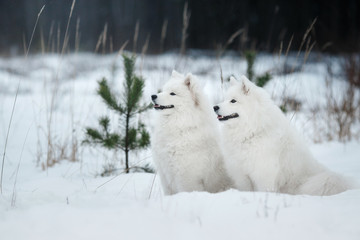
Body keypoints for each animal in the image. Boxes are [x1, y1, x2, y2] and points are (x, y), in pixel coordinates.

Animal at [214, 76, 354, 196]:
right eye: (224, 99)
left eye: (233, 101)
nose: (215, 107)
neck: (253, 130)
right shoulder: (242, 176)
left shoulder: (263, 177)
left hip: (319, 182)